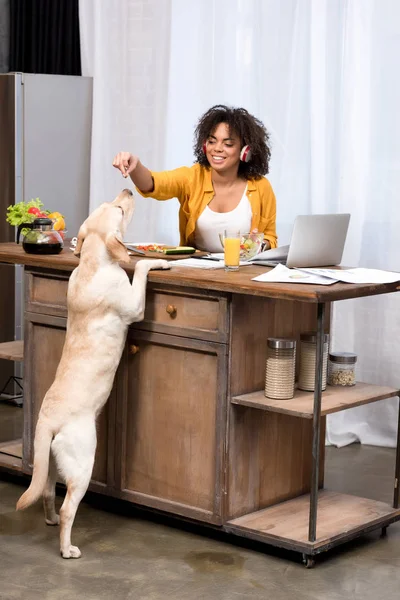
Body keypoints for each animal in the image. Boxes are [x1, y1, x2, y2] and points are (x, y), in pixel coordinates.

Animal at [15, 189, 169, 556]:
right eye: (119, 210)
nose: (127, 190)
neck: (91, 264)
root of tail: (47, 421)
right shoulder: (134, 304)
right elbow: (140, 266)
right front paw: (156, 260)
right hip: (84, 461)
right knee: (69, 507)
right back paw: (67, 548)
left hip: (50, 463)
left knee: (46, 491)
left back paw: (50, 520)